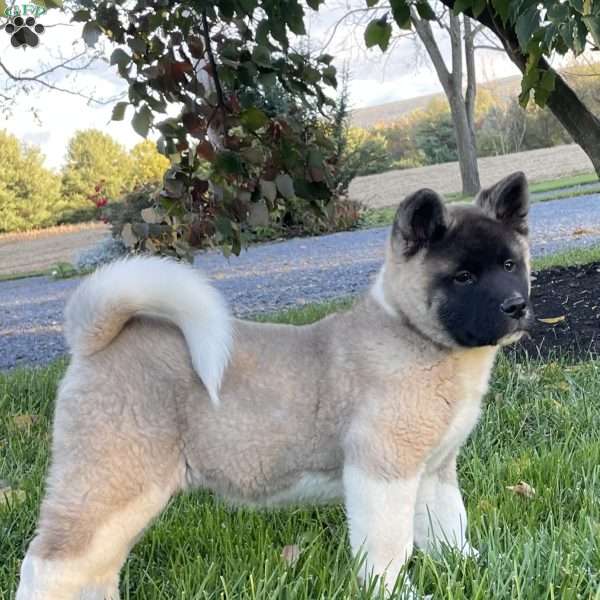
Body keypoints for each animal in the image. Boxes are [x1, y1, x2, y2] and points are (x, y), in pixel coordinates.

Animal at [16, 171, 528, 596]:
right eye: (463, 276)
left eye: (509, 265)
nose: (518, 307)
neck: (413, 336)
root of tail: (94, 339)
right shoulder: (381, 472)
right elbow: (387, 549)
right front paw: (397, 593)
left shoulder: (433, 472)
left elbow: (448, 527)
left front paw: (471, 567)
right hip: (111, 485)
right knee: (51, 565)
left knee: (97, 568)